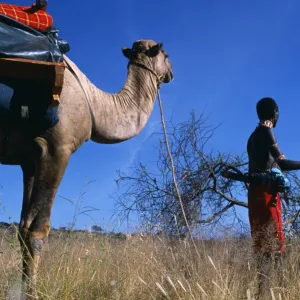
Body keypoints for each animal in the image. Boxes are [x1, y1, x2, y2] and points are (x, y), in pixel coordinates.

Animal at [0, 39, 173, 298]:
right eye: (166, 54)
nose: (172, 72)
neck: (94, 104)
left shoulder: (29, 161)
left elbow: (23, 228)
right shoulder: (56, 148)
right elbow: (37, 231)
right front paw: (32, 294)